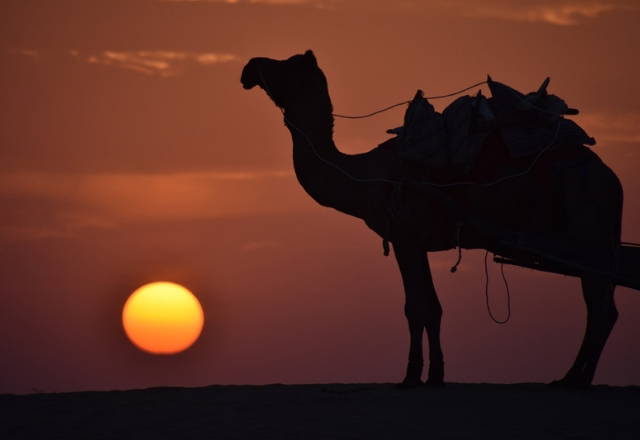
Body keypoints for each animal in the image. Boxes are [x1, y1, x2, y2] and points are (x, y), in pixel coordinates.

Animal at [241, 50, 624, 388]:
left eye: (287, 65)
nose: (248, 67)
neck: (369, 176)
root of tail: (613, 180)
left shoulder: (405, 238)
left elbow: (416, 308)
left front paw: (412, 377)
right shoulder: (415, 242)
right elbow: (432, 308)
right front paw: (435, 374)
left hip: (589, 226)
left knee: (600, 309)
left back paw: (577, 379)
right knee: (605, 308)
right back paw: (572, 377)